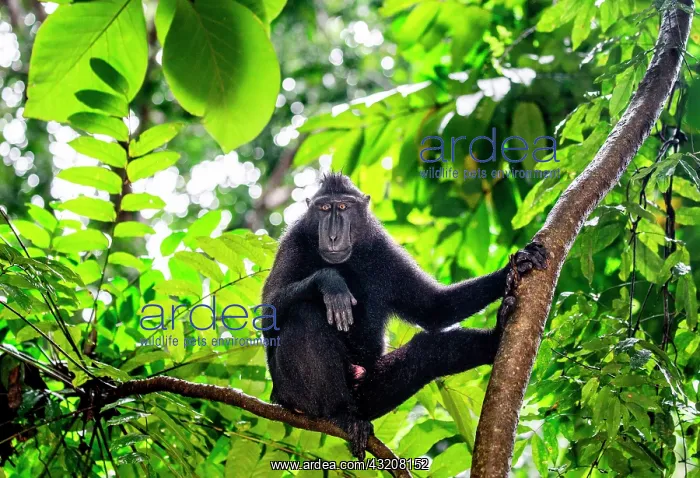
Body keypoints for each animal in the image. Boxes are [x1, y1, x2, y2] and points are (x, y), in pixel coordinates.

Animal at [261, 173, 547, 459]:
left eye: (343, 207)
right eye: (323, 209)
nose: (332, 236)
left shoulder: (382, 247)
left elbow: (434, 307)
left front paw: (516, 265)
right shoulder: (293, 241)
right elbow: (267, 314)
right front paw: (330, 282)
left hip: (366, 393)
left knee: (427, 351)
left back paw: (496, 337)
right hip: (292, 391)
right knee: (304, 314)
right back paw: (338, 414)